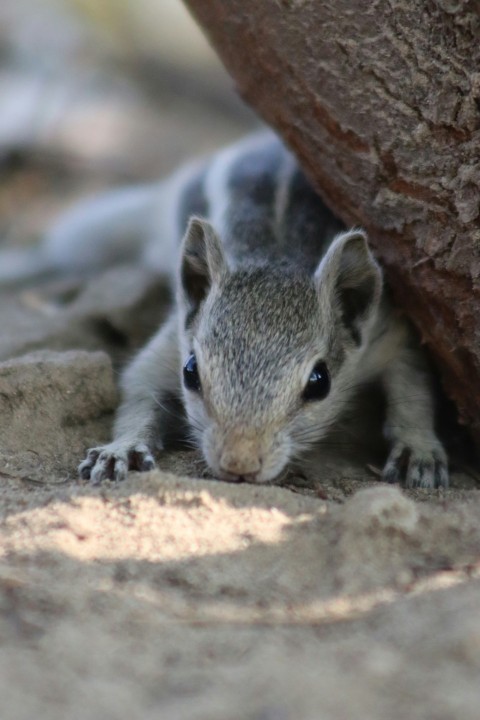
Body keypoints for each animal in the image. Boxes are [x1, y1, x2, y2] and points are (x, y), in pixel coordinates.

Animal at [1, 131, 448, 486]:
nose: (239, 464)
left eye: (319, 383)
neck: (278, 254)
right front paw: (122, 447)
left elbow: (413, 383)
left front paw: (418, 449)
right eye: (190, 372)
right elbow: (138, 385)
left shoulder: (384, 333)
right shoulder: (175, 338)